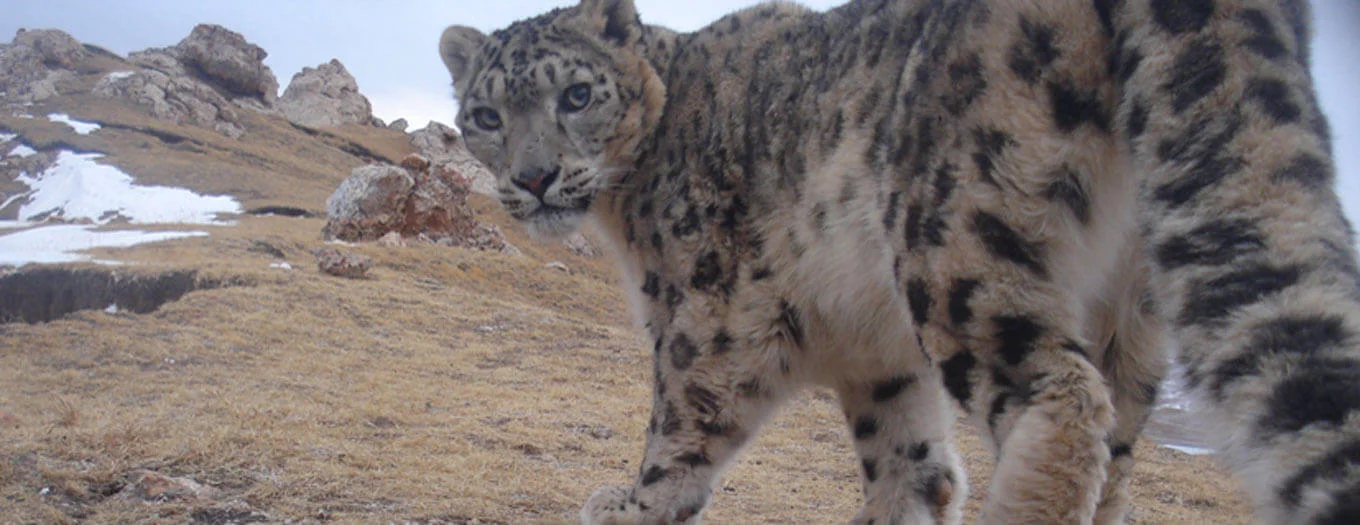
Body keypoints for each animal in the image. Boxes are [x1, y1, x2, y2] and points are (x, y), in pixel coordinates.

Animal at [438, 0, 1360, 523]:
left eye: (577, 95)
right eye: (485, 114)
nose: (533, 177)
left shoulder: (706, 321)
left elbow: (678, 438)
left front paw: (624, 502)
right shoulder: (880, 364)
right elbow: (916, 471)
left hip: (959, 235)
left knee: (1061, 396)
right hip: (1131, 308)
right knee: (1119, 457)